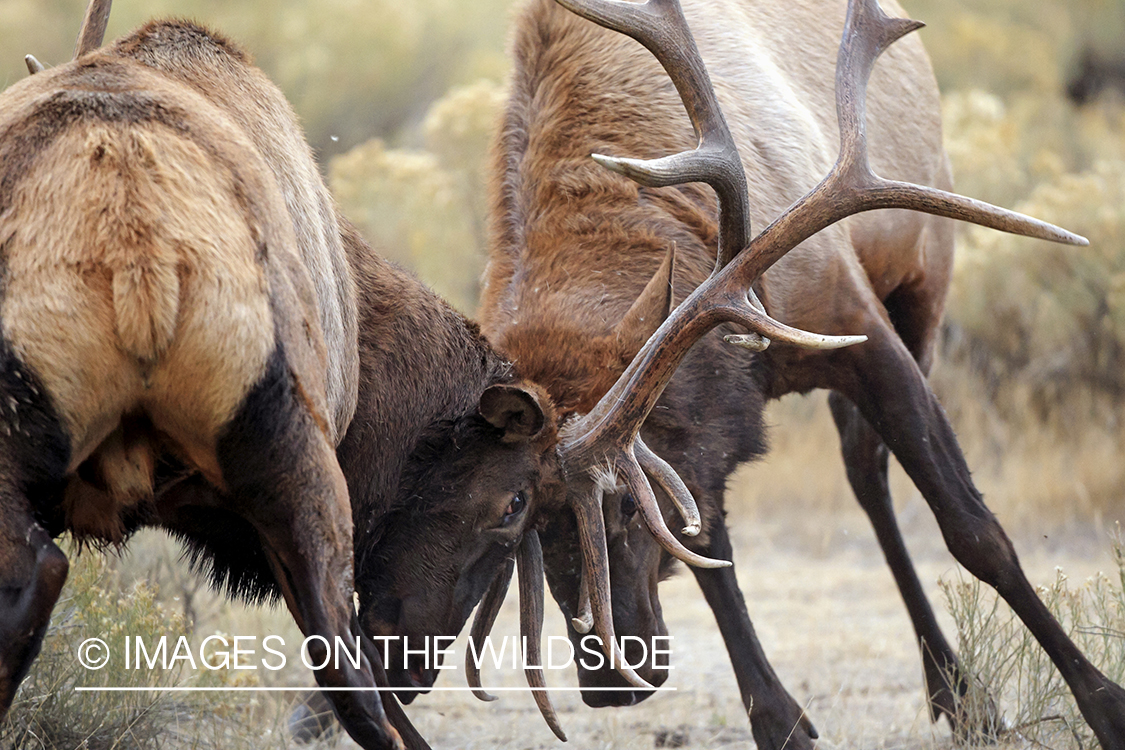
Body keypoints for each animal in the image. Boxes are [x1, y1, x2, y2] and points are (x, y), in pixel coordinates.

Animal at [477, 0, 1125, 746]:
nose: (609, 685)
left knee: (870, 473)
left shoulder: (856, 322)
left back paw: (963, 696)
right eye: (521, 520)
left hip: (925, 284)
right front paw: (778, 718)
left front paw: (1104, 703)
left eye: (624, 510)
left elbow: (973, 530)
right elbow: (708, 544)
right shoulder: (699, 428)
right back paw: (952, 691)